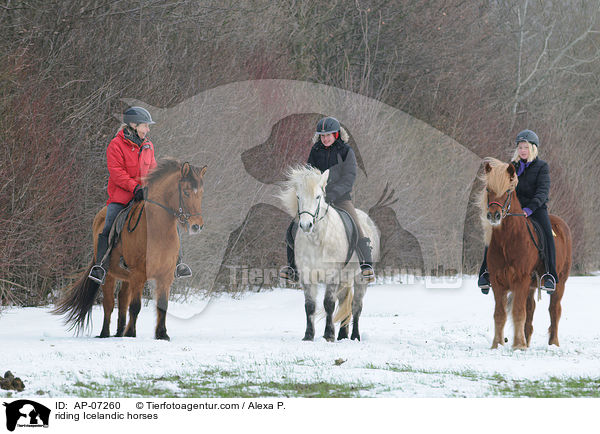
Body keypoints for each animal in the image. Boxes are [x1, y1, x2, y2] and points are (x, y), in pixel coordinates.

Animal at [54, 158, 209, 340]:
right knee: (109, 304)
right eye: (186, 192)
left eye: (201, 193)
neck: (158, 230)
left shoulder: (165, 276)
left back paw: (119, 333)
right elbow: (135, 306)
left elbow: (162, 305)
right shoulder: (139, 274)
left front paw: (161, 334)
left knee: (122, 300)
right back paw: (105, 334)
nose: (197, 226)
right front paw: (131, 333)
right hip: (110, 274)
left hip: (127, 278)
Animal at [280, 164, 382, 340]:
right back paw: (342, 335)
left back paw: (355, 336)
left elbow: (328, 304)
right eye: (298, 197)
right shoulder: (307, 276)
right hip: (345, 278)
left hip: (360, 279)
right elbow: (310, 306)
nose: (306, 225)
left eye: (318, 197)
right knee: (343, 303)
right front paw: (308, 336)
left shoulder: (332, 275)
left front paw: (328, 335)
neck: (317, 240)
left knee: (356, 306)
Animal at [478, 159, 572, 350]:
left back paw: (553, 343)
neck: (508, 241)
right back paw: (527, 341)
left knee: (554, 310)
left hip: (560, 282)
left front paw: (518, 345)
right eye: (488, 190)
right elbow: (500, 314)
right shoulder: (498, 281)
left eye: (508, 191)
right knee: (531, 310)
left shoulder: (520, 279)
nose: (494, 215)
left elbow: (518, 312)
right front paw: (497, 344)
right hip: (530, 286)